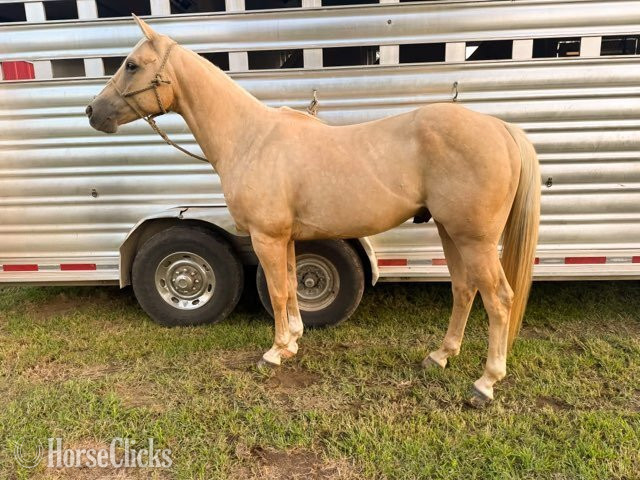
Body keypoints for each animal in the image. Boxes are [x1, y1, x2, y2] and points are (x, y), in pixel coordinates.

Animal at [86, 15, 540, 405]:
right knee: (464, 290)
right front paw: (293, 342)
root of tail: (501, 128)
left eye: (131, 65)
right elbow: (289, 286)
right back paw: (441, 356)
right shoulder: (285, 238)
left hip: (474, 239)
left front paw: (274, 353)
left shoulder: (266, 237)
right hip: (451, 233)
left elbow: (279, 291)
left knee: (498, 299)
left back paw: (485, 383)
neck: (251, 139)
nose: (92, 112)